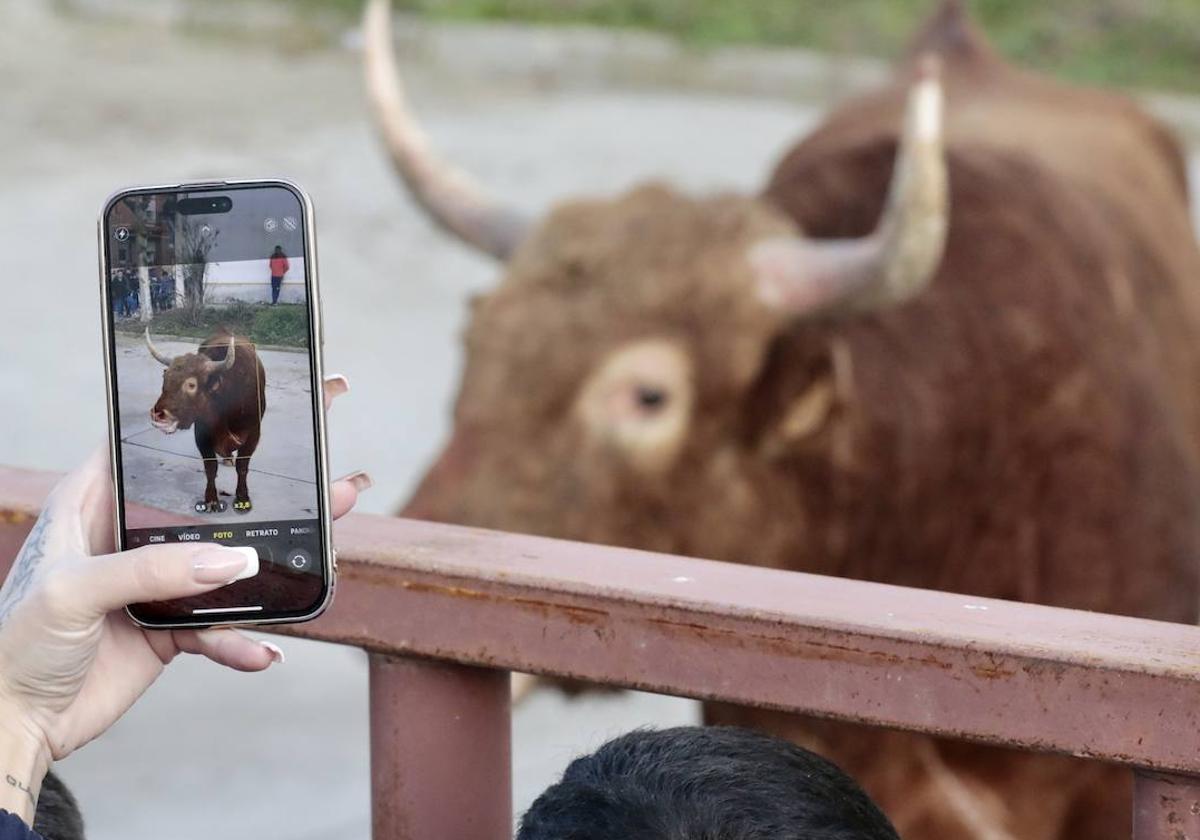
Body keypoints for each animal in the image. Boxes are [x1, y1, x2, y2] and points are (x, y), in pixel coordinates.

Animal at [145, 328, 267, 511]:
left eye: (191, 385)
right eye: (165, 379)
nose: (158, 414)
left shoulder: (253, 435)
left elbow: (242, 467)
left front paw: (242, 497)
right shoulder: (202, 435)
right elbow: (210, 467)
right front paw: (211, 499)